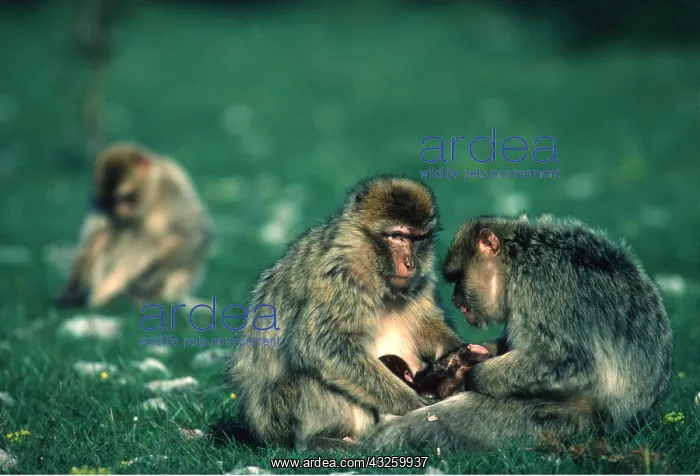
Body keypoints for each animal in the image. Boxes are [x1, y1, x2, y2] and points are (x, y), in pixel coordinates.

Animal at [54, 142, 214, 309]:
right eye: (111, 200)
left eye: (126, 197)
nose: (119, 210)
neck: (152, 192)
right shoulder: (98, 198)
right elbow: (93, 239)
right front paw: (71, 289)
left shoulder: (173, 187)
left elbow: (195, 234)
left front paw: (145, 281)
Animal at [223, 176, 467, 451]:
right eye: (397, 236)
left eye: (418, 239)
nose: (410, 263)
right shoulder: (340, 276)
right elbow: (324, 346)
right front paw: (416, 405)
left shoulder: (422, 280)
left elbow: (426, 325)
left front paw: (458, 359)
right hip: (277, 417)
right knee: (311, 372)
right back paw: (317, 439)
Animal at [365, 213, 673, 452]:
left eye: (458, 277)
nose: (455, 300)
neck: (518, 262)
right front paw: (455, 361)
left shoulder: (541, 282)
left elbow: (569, 362)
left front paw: (472, 375)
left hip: (560, 424)